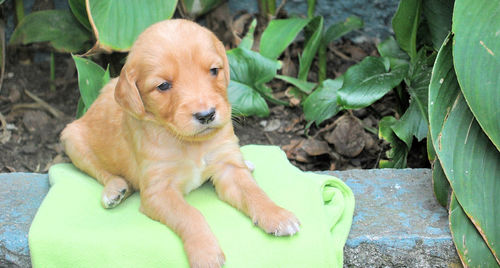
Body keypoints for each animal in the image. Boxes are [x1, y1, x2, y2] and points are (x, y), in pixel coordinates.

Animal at [60, 19, 298, 268]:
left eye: (214, 70)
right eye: (163, 86)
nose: (206, 115)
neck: (190, 143)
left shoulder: (228, 166)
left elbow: (253, 191)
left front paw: (277, 215)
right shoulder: (158, 191)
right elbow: (191, 214)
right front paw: (205, 252)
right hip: (71, 139)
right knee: (100, 171)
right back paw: (115, 190)